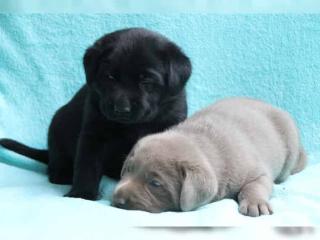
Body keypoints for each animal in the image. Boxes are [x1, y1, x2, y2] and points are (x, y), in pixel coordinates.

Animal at [0, 27, 191, 201]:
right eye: (110, 77)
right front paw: (82, 194)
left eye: (146, 81)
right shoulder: (94, 133)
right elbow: (88, 164)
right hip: (57, 129)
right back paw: (63, 174)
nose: (121, 109)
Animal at [111, 96, 306, 217]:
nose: (117, 199)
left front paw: (255, 202)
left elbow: (255, 185)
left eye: (155, 184)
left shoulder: (257, 173)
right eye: (127, 170)